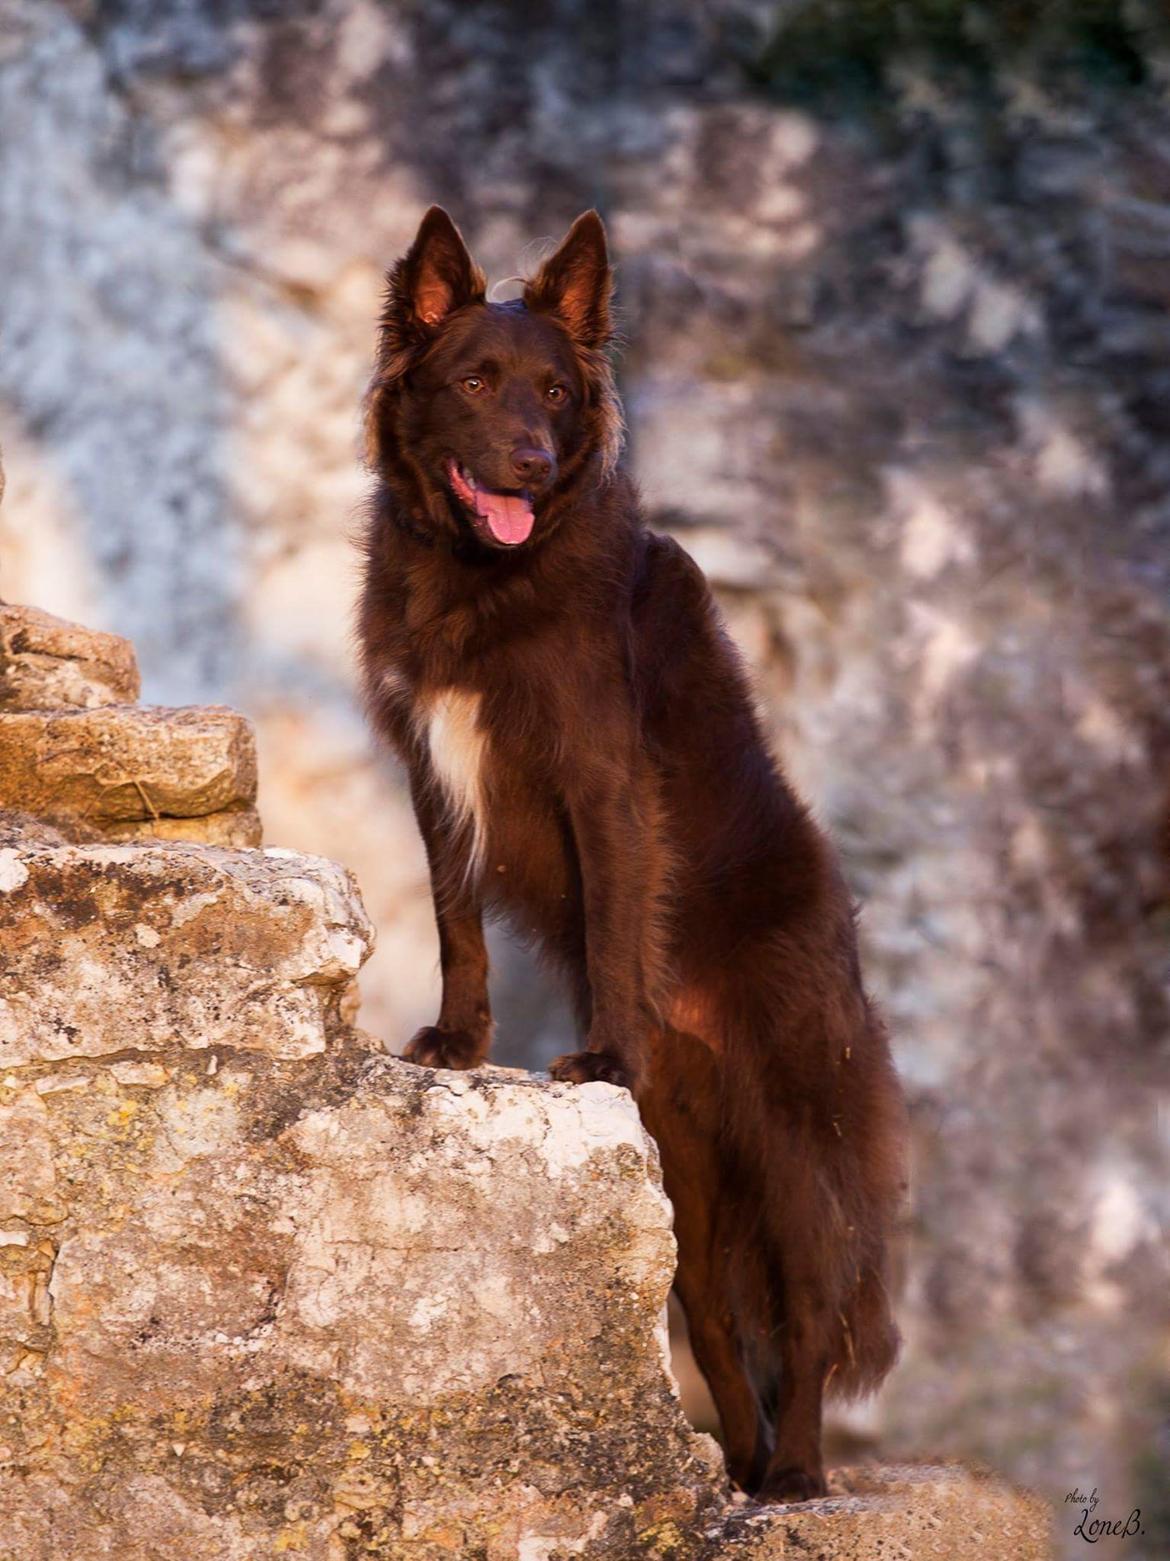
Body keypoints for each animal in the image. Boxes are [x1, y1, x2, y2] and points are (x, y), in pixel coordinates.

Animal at [357, 207, 904, 1498]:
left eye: (556, 393)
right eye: (475, 381)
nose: (529, 463)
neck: (484, 573)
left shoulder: (599, 779)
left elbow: (612, 915)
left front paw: (601, 1051)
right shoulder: (432, 772)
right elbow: (457, 924)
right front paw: (459, 1041)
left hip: (792, 1144)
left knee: (809, 1315)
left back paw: (795, 1479)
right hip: (690, 1173)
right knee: (709, 1316)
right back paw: (741, 1470)